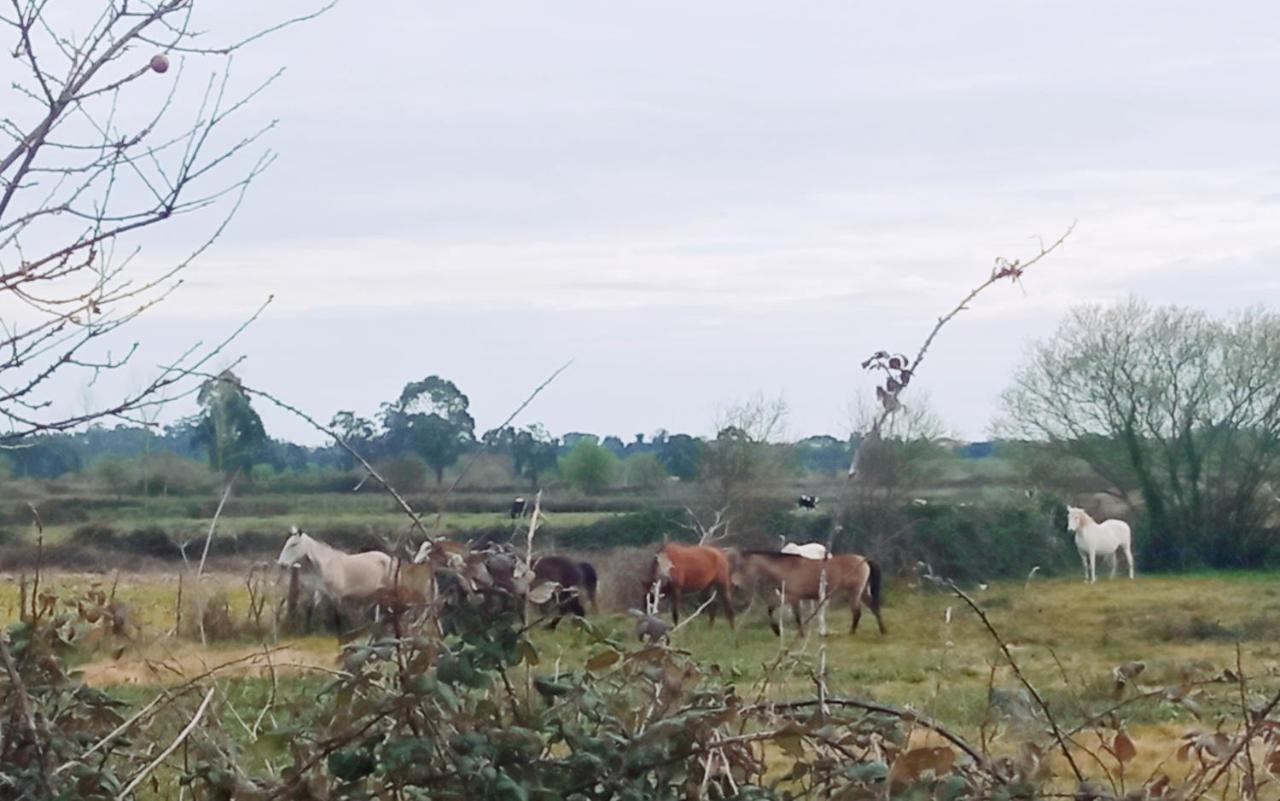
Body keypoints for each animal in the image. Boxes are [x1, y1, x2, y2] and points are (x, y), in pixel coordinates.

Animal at [732, 545, 880, 632]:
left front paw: (800, 634)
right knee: (874, 607)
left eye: (741, 566)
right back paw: (882, 630)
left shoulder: (794, 598)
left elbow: (798, 618)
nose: (734, 583)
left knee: (857, 612)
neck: (786, 568)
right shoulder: (786, 597)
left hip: (853, 593)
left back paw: (851, 633)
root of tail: (864, 560)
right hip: (862, 592)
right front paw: (776, 631)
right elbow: (771, 609)